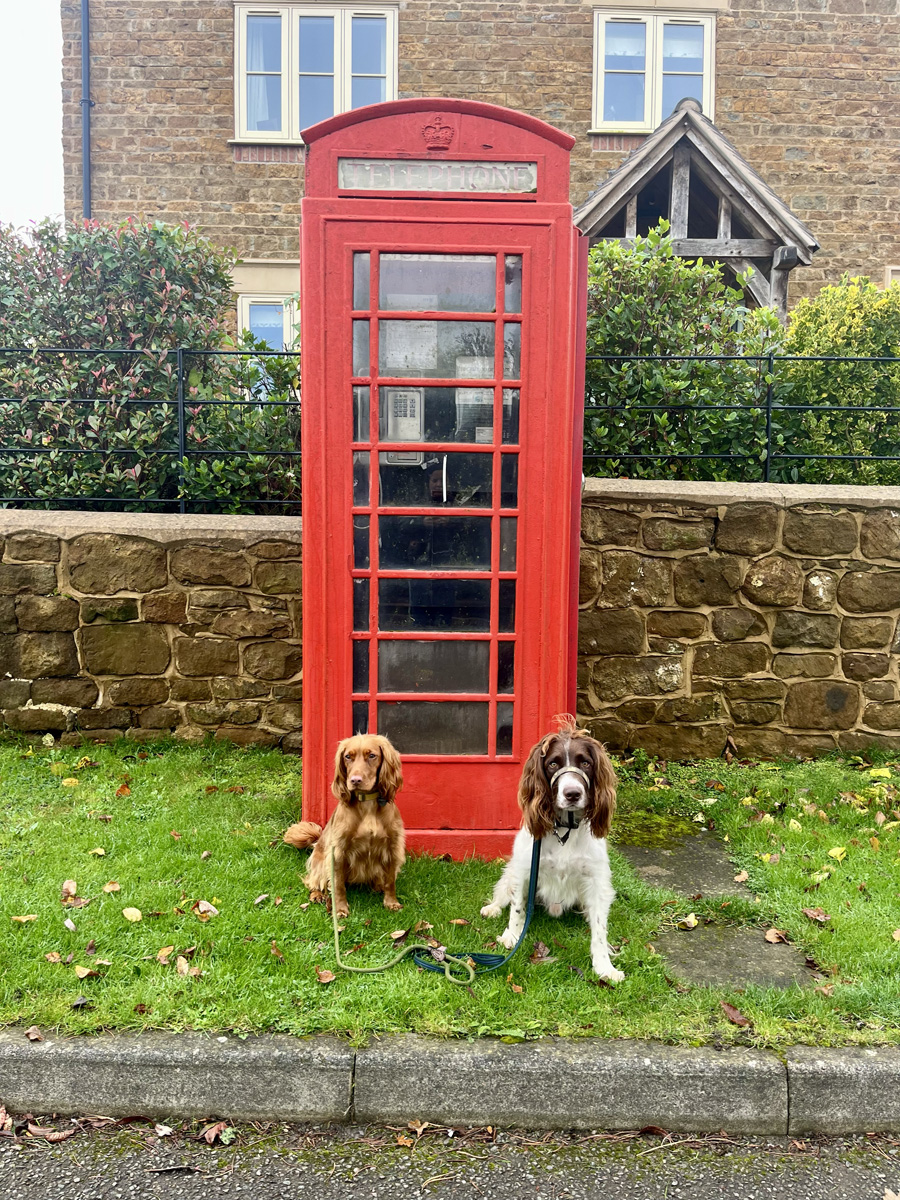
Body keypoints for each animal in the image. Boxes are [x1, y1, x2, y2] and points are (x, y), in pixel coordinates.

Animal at [283, 734, 405, 918]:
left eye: (372, 755)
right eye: (348, 756)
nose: (355, 780)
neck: (367, 804)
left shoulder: (392, 847)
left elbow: (390, 880)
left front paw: (391, 902)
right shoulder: (338, 851)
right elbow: (338, 884)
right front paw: (339, 909)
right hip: (320, 862)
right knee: (314, 881)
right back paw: (317, 895)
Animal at [480, 717, 623, 982]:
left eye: (585, 763)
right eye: (553, 763)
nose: (572, 794)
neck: (565, 829)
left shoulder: (598, 879)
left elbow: (600, 929)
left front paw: (604, 966)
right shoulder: (524, 869)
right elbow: (517, 909)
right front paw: (512, 936)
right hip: (511, 871)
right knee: (503, 894)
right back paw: (493, 908)